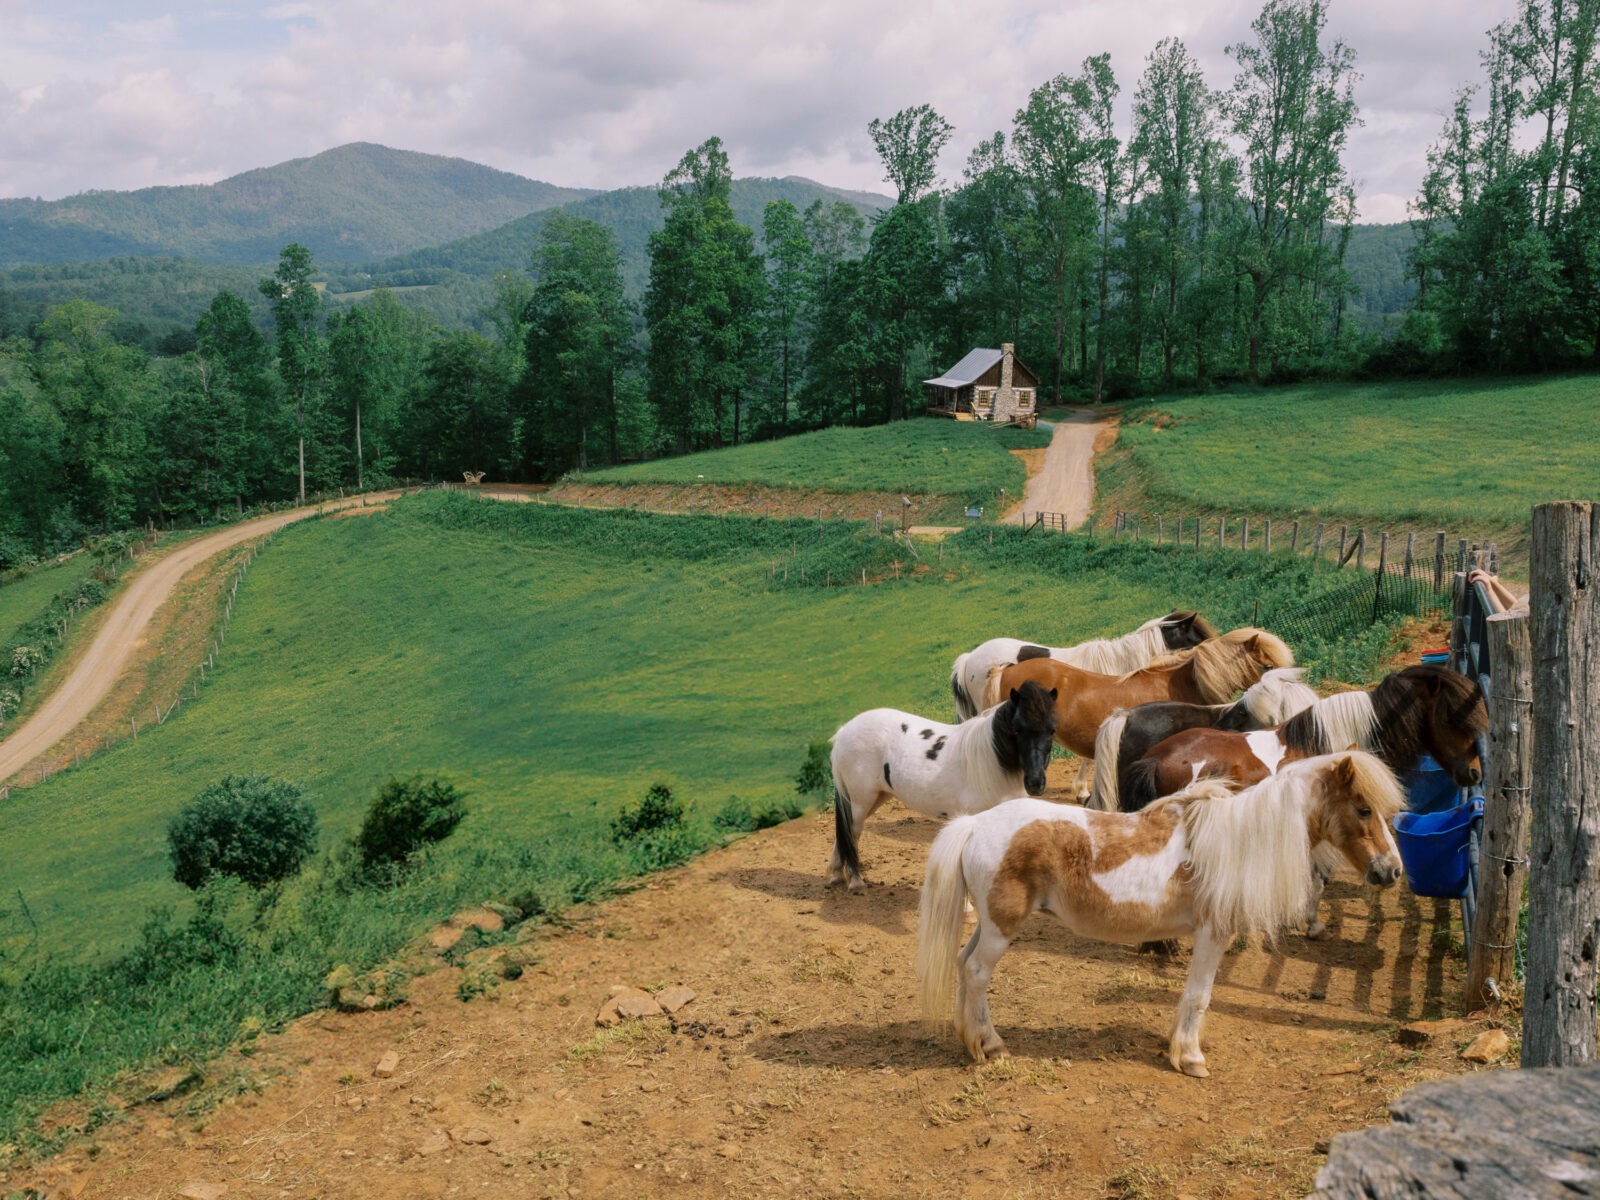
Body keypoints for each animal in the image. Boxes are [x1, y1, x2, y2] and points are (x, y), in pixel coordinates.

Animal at [829, 681, 1058, 893]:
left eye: (1052, 730)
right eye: (1017, 729)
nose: (1035, 783)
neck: (992, 761)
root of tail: (844, 731)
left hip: (876, 798)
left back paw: (836, 875)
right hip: (861, 801)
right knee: (852, 832)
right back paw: (855, 881)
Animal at [915, 751, 1404, 1075]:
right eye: (1363, 809)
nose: (1392, 870)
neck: (1240, 839)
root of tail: (974, 824)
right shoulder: (1213, 934)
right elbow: (1199, 996)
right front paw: (1190, 1058)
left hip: (989, 925)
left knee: (962, 965)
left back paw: (971, 1039)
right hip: (1001, 929)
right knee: (977, 973)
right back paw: (991, 1046)